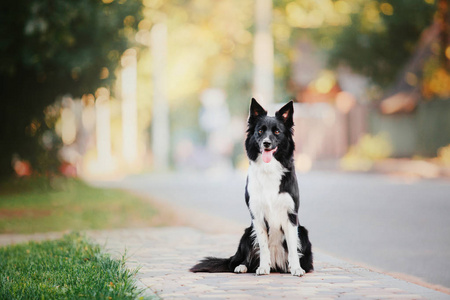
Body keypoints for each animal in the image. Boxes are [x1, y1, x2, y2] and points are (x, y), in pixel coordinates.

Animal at [190, 99, 312, 276]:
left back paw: (290, 267)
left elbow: (292, 247)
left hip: (302, 232)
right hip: (247, 233)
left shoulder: (291, 215)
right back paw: (242, 266)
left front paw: (296, 268)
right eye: (260, 131)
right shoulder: (257, 216)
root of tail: (277, 265)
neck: (269, 169)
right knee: (237, 261)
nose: (266, 143)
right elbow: (263, 247)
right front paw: (263, 267)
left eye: (277, 132)